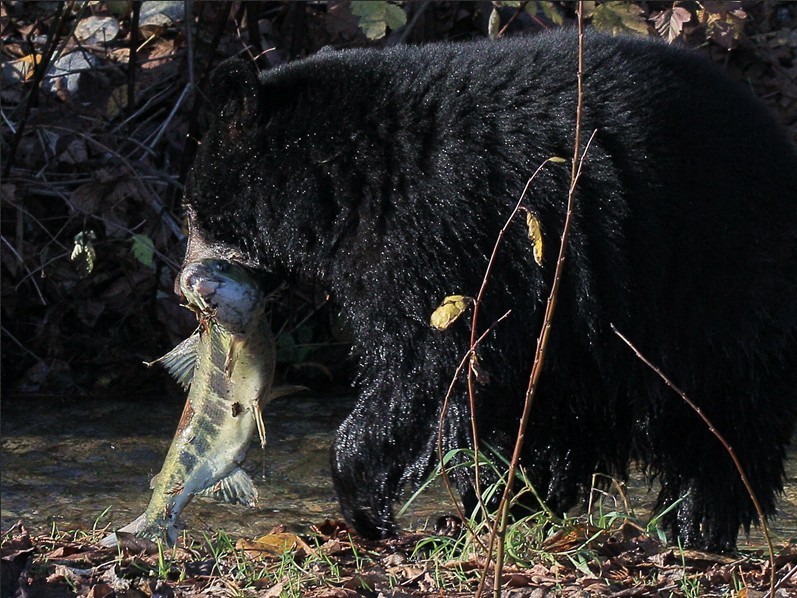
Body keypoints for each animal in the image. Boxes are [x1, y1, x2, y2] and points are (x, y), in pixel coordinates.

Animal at [182, 29, 796, 552]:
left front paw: (366, 497)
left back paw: (692, 526)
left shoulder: (441, 229)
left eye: (191, 212)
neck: (346, 171)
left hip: (709, 279)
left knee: (721, 423)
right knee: (574, 416)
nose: (184, 281)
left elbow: (423, 363)